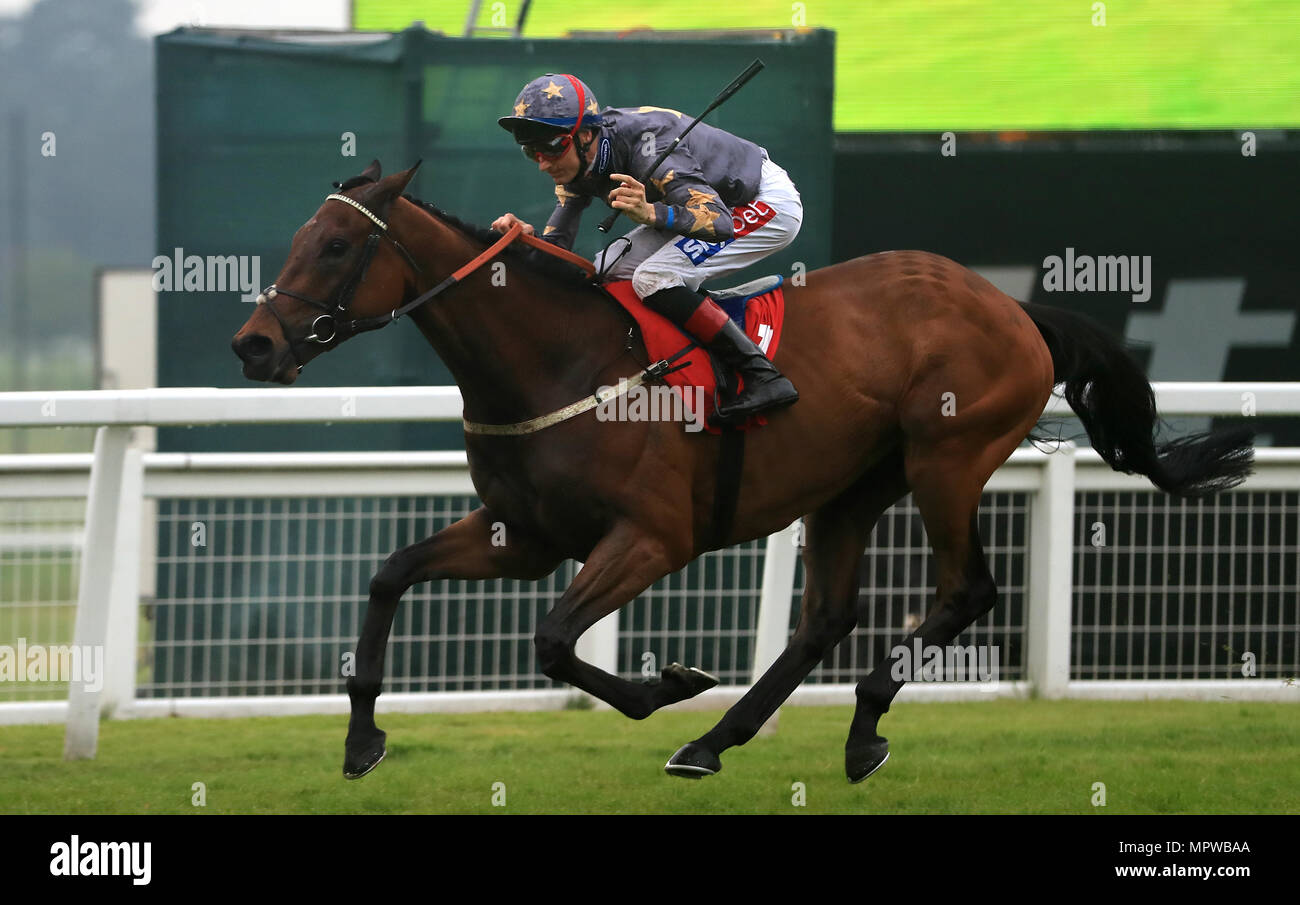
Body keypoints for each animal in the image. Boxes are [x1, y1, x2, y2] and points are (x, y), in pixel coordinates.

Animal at [231, 162, 1248, 785]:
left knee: (966, 590)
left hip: (948, 455)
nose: (255, 344)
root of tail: (1010, 305)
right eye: (301, 236)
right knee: (824, 619)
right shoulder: (525, 536)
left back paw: (854, 724)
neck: (558, 360)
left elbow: (555, 639)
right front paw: (364, 737)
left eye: (334, 246)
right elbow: (390, 574)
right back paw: (720, 741)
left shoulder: (653, 537)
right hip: (852, 486)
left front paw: (667, 684)